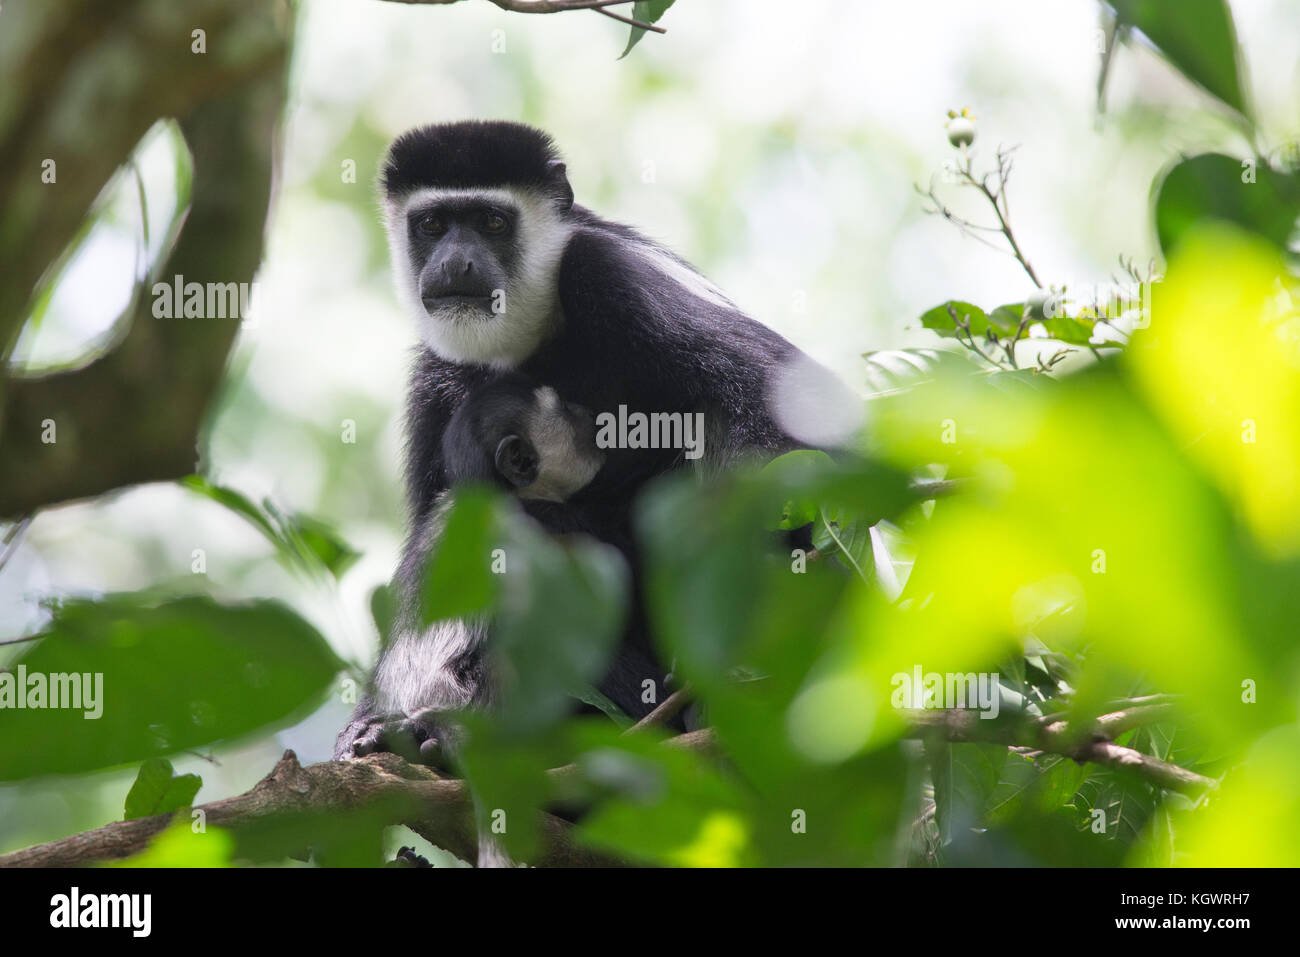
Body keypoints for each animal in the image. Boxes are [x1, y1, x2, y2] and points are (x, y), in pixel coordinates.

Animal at [335, 125, 852, 769]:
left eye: (492, 221)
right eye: (432, 224)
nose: (455, 262)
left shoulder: (608, 273)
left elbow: (796, 429)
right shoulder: (436, 376)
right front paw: (368, 724)